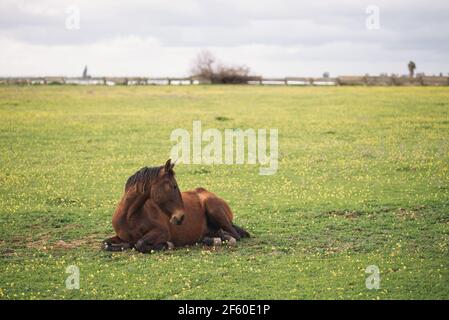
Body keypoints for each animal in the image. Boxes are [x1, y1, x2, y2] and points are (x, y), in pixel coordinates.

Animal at [102, 159, 248, 252]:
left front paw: (166, 245)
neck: (130, 217)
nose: (181, 217)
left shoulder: (162, 232)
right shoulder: (120, 236)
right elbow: (105, 244)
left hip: (214, 209)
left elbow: (139, 244)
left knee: (235, 236)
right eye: (173, 186)